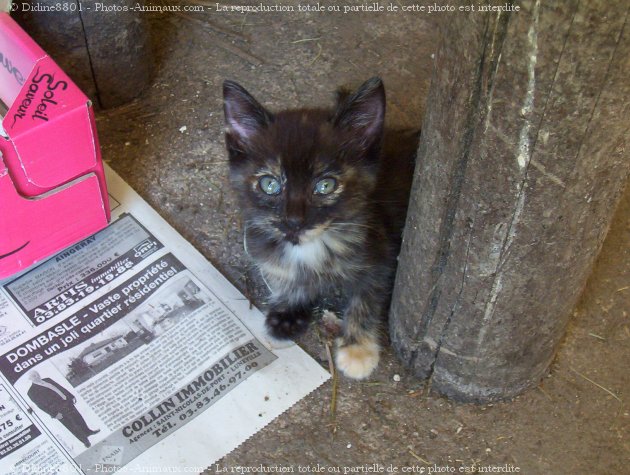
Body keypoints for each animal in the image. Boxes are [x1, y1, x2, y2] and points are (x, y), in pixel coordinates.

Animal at [223, 79, 420, 384]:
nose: (294, 220)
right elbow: (286, 277)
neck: (312, 246)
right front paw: (288, 311)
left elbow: (365, 299)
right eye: (269, 184)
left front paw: (358, 350)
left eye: (325, 186)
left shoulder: (381, 255)